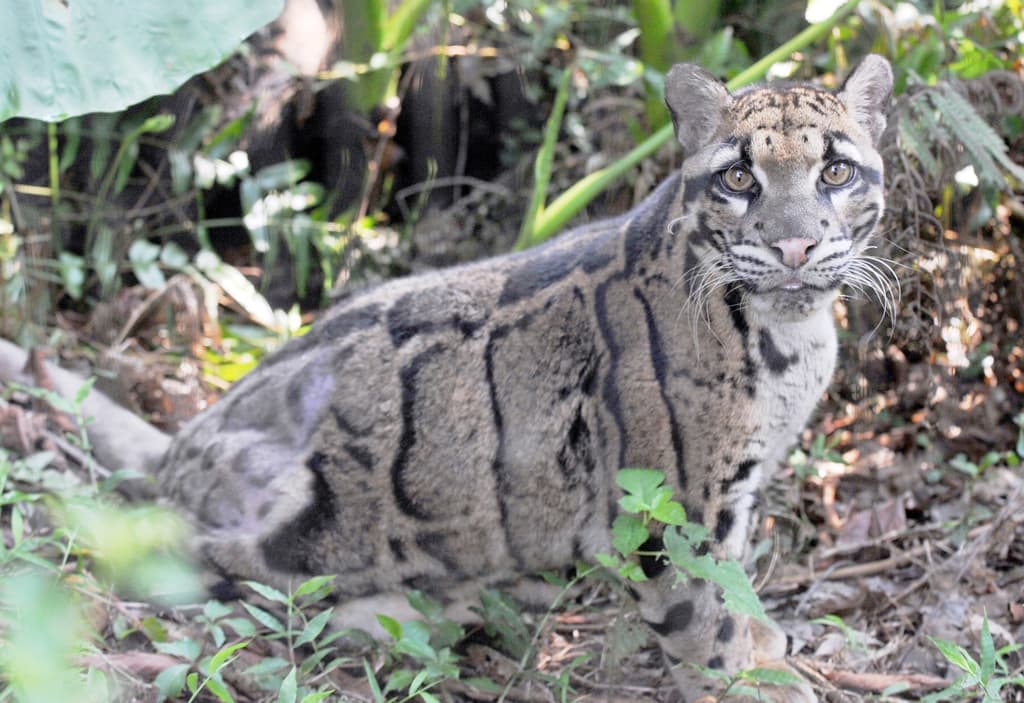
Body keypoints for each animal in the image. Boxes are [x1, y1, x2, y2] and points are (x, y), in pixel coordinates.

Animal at [0, 56, 892, 703]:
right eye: (740, 179)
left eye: (836, 174)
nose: (795, 245)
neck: (789, 333)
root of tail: (183, 438)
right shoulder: (668, 510)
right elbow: (703, 612)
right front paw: (748, 679)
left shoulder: (735, 491)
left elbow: (737, 581)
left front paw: (765, 642)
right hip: (293, 514)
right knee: (192, 558)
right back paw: (404, 607)